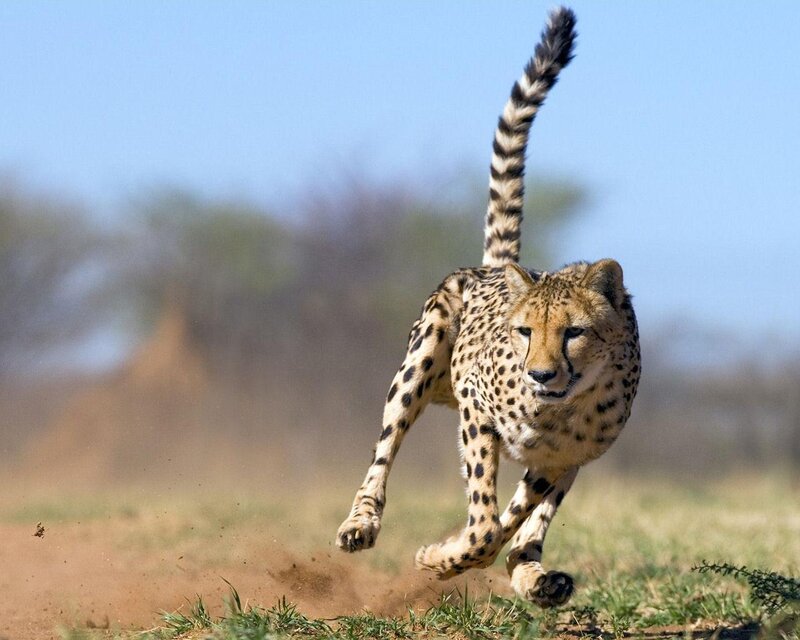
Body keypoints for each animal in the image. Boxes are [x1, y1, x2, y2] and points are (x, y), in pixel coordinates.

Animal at [335, 6, 640, 608]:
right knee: (385, 449)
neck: (561, 406)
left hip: (563, 464)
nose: (541, 373)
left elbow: (509, 521)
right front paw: (440, 558)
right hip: (421, 360)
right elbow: (483, 523)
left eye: (573, 332)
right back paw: (362, 523)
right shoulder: (477, 410)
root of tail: (498, 267)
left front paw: (456, 558)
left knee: (526, 524)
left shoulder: (561, 458)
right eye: (525, 332)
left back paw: (536, 575)